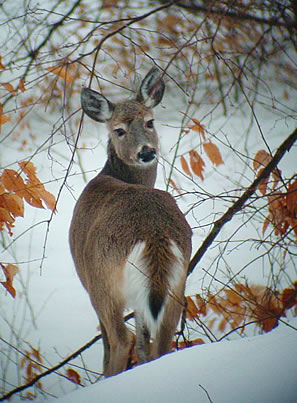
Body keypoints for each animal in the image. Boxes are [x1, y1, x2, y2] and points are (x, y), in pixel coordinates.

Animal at [68, 67, 191, 378]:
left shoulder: (89, 280)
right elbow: (145, 345)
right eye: (119, 130)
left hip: (103, 280)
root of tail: (154, 233)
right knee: (161, 341)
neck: (113, 175)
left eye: (150, 121)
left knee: (121, 339)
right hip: (176, 282)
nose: (146, 152)